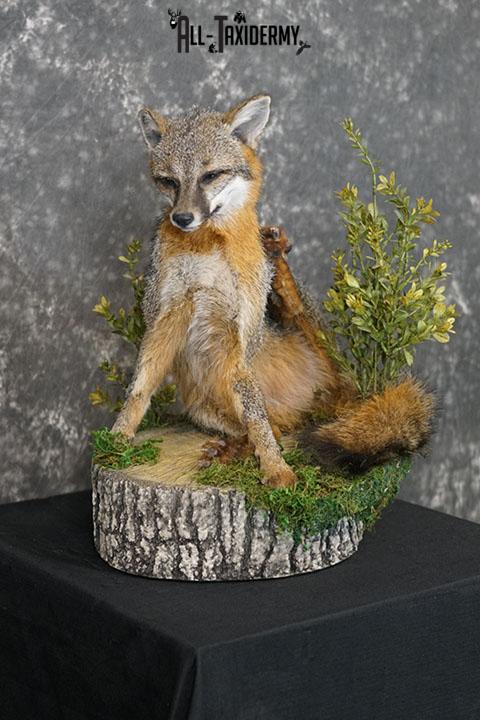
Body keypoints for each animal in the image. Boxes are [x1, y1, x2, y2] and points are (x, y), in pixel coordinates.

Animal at [112, 93, 434, 487]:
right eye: (168, 181)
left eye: (210, 176)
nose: (182, 218)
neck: (206, 250)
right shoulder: (165, 315)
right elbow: (140, 387)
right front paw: (117, 437)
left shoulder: (242, 332)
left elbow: (256, 417)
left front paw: (276, 469)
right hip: (200, 404)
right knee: (275, 428)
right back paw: (231, 449)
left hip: (308, 334)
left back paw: (279, 263)